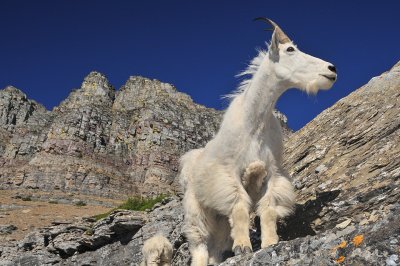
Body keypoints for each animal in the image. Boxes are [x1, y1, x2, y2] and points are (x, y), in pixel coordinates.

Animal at [180, 17, 336, 264]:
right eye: (290, 49)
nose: (331, 69)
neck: (255, 122)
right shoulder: (228, 175)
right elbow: (240, 208)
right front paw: (243, 247)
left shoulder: (272, 173)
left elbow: (268, 209)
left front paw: (270, 242)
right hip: (196, 213)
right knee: (200, 246)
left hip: (219, 221)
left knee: (216, 248)